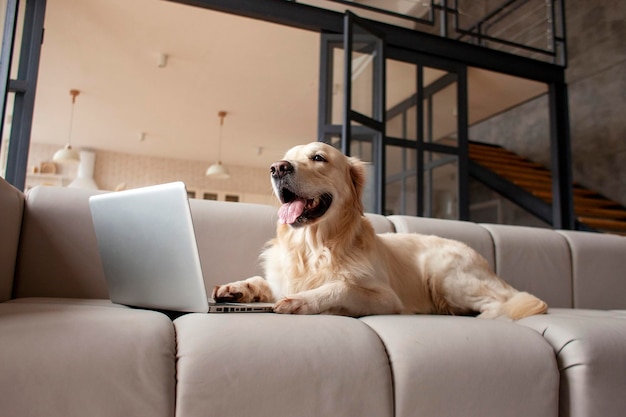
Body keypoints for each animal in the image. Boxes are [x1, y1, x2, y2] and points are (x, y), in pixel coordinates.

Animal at [213, 141, 544, 318]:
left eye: (318, 157)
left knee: (501, 304)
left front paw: (302, 301)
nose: (278, 168)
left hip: (445, 274)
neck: (313, 248)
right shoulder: (281, 277)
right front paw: (236, 287)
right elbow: (261, 280)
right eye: (287, 157)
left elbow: (342, 286)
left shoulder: (387, 298)